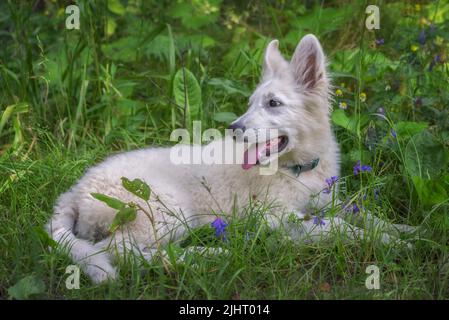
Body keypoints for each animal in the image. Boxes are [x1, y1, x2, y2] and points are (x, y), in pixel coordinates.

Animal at [47, 35, 412, 284]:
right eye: (250, 104)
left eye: (273, 103)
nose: (234, 128)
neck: (296, 169)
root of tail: (76, 190)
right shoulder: (275, 218)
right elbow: (337, 226)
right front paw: (388, 242)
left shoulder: (326, 200)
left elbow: (364, 214)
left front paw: (405, 229)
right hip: (164, 209)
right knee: (121, 252)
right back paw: (202, 257)